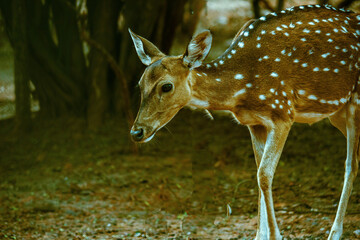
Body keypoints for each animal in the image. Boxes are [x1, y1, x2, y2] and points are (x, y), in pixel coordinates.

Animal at [129, 3, 360, 240]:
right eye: (140, 83)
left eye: (166, 86)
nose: (136, 132)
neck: (242, 88)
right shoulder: (254, 123)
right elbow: (258, 173)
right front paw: (260, 235)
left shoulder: (283, 111)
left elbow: (264, 175)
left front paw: (275, 235)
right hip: (337, 114)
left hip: (355, 103)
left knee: (351, 165)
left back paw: (335, 232)